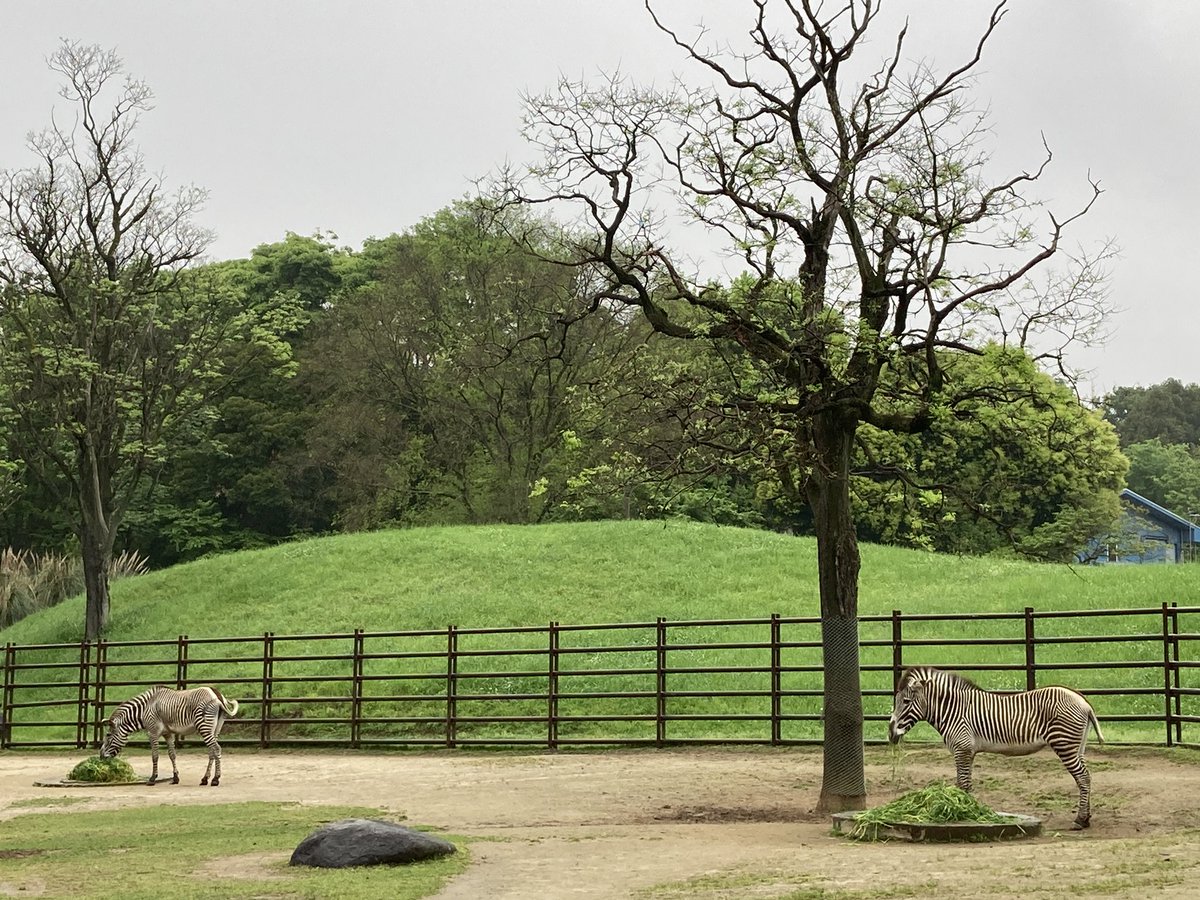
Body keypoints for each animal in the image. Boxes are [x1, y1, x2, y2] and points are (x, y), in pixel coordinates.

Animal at [100, 686, 238, 787]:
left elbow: (155, 756)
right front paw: (175, 778)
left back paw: (215, 779)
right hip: (215, 729)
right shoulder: (168, 734)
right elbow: (172, 755)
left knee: (217, 749)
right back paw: (205, 779)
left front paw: (152, 778)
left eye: (108, 735)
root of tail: (216, 694)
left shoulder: (153, 732)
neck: (145, 709)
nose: (100, 756)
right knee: (212, 752)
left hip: (204, 726)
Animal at [883, 667, 1104, 830]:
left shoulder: (962, 749)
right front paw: (967, 810)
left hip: (1064, 744)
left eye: (906, 701)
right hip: (1077, 746)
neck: (953, 710)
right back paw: (1086, 818)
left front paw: (965, 814)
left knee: (1083, 778)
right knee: (1086, 777)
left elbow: (964, 785)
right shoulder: (967, 752)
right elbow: (963, 785)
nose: (891, 734)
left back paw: (1079, 820)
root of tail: (1083, 701)